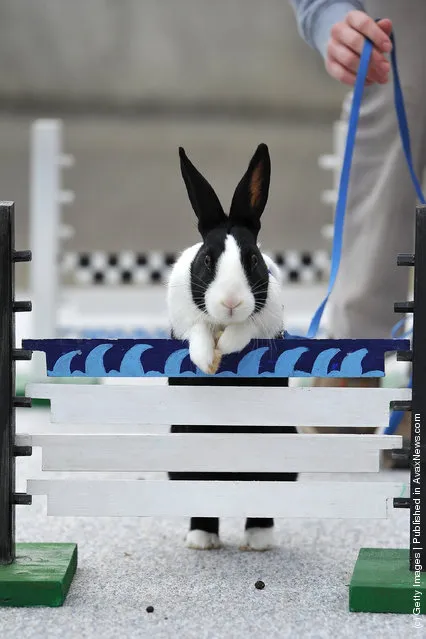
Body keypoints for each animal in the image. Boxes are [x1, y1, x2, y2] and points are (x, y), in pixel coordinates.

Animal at [166, 144, 296, 552]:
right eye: (208, 259)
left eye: (251, 259)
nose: (231, 302)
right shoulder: (187, 320)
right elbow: (199, 329)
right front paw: (206, 357)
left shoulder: (264, 320)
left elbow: (246, 328)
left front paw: (227, 343)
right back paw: (201, 539)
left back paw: (259, 539)